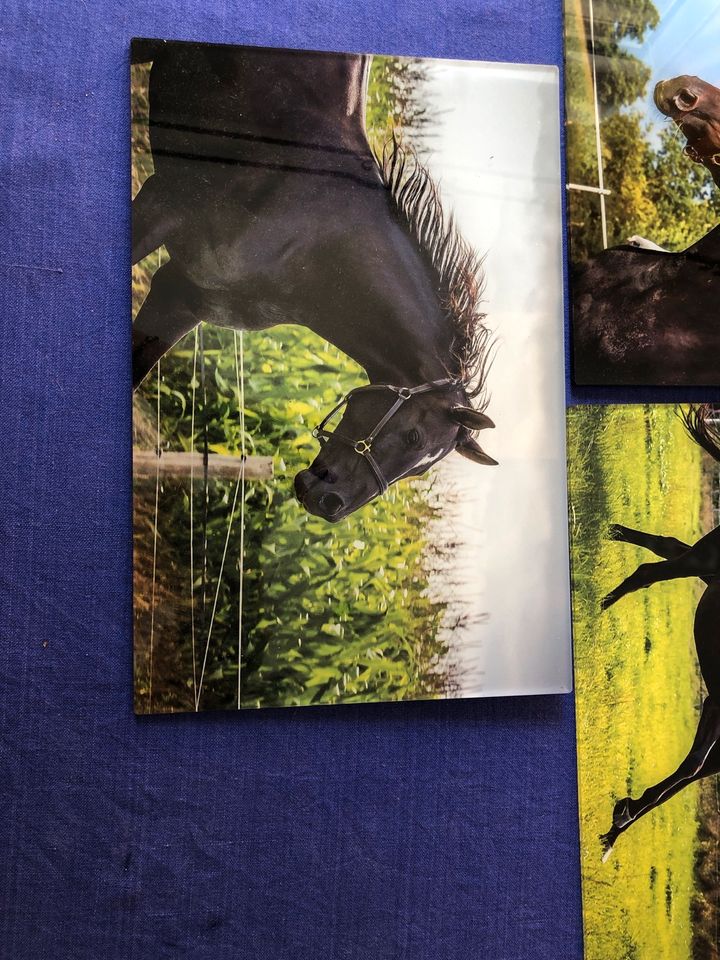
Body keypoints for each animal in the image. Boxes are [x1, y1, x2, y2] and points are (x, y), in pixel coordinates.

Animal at [132, 37, 496, 520]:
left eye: (420, 469)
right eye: (415, 437)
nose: (330, 504)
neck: (312, 233)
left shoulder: (182, 295)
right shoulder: (162, 204)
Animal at [600, 408, 720, 860]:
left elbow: (686, 775)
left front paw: (618, 823)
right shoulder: (717, 710)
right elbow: (690, 768)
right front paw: (620, 819)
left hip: (705, 569)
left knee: (666, 547)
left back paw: (616, 533)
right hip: (703, 562)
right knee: (652, 570)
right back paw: (606, 599)